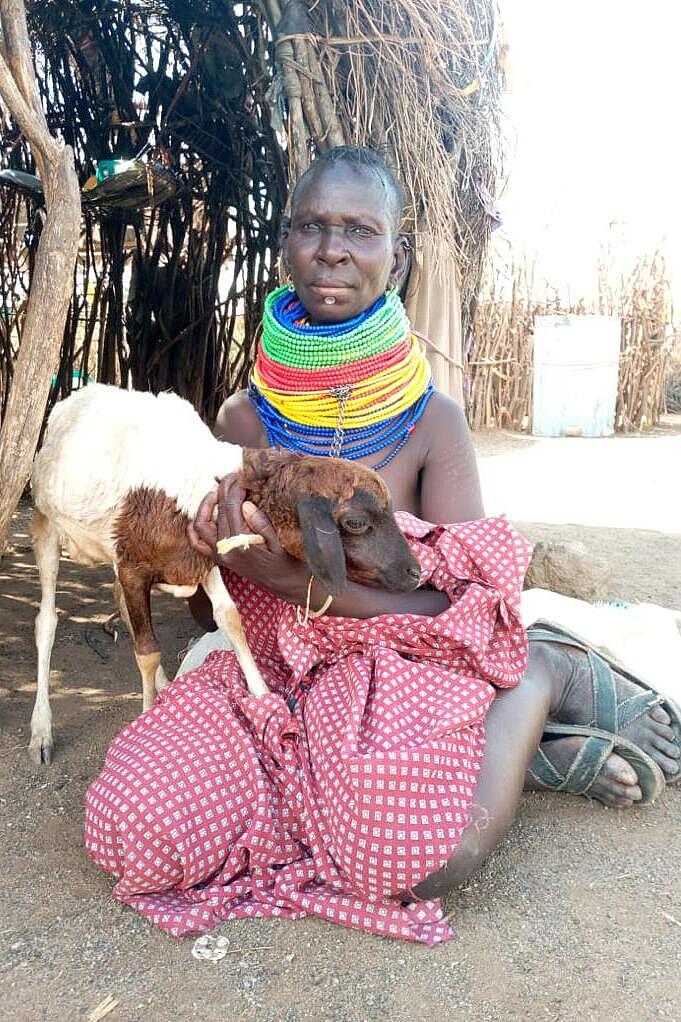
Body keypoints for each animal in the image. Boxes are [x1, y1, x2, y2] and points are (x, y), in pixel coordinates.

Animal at [29, 384, 421, 765]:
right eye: (356, 523)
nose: (414, 573)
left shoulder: (203, 557)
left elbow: (230, 619)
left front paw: (263, 700)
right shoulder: (133, 568)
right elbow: (147, 651)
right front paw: (144, 715)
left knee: (118, 602)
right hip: (45, 521)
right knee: (47, 619)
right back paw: (41, 731)